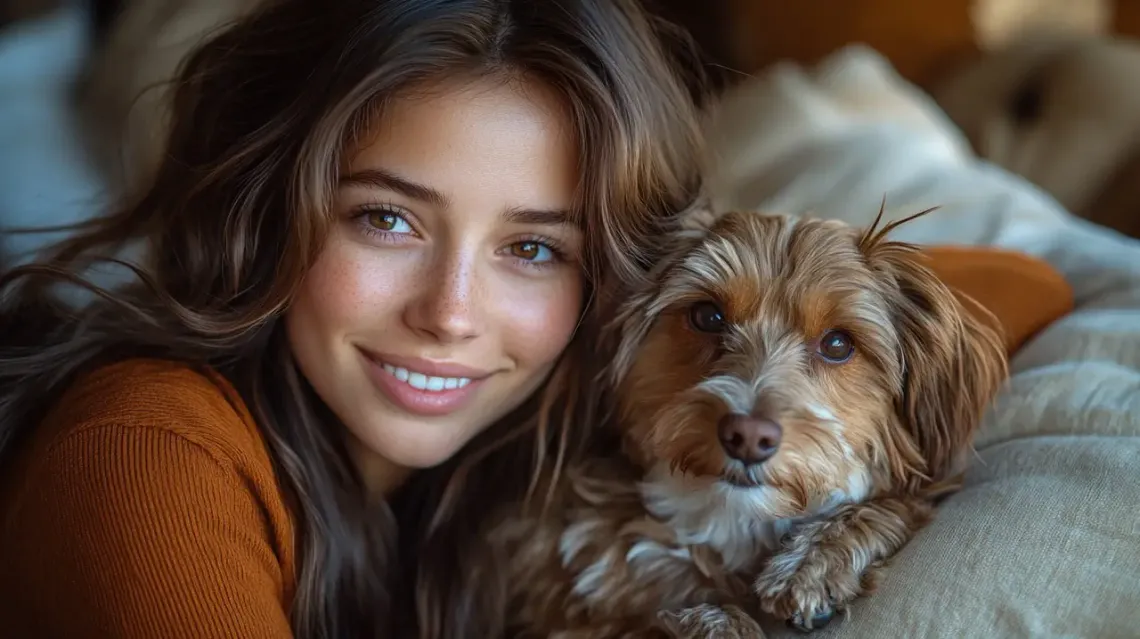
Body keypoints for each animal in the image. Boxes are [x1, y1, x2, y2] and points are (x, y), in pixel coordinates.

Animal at [490, 207, 1007, 633]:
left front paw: (812, 562)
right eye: (707, 316)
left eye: (838, 344)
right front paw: (716, 618)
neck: (729, 519)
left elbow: (893, 503)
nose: (747, 436)